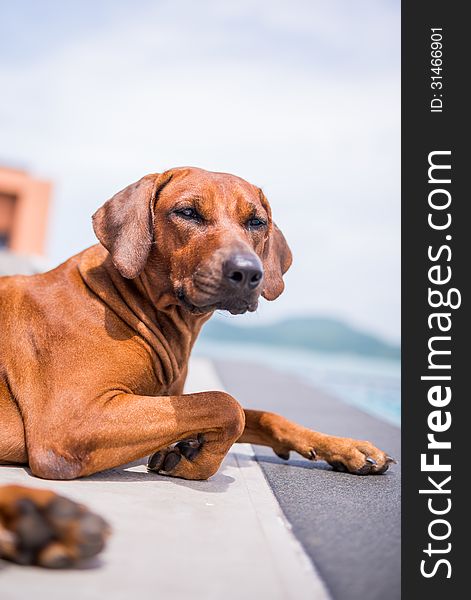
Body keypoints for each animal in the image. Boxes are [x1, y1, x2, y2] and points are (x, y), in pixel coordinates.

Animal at [0, 168, 394, 568]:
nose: (247, 272)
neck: (138, 306)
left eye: (257, 222)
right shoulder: (71, 423)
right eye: (188, 213)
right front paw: (195, 459)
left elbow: (263, 415)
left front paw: (345, 447)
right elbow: (227, 405)